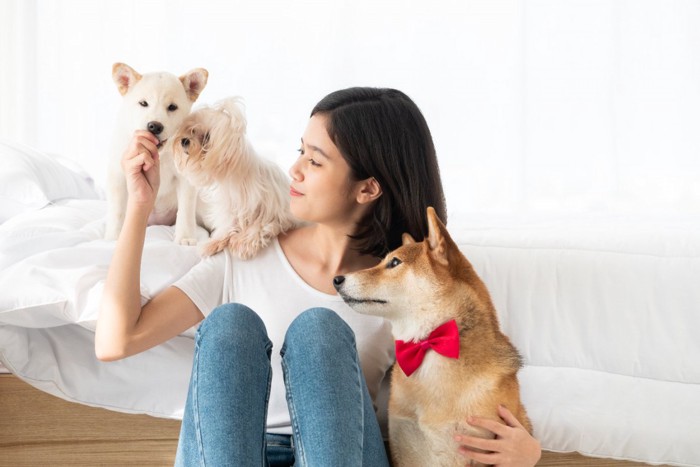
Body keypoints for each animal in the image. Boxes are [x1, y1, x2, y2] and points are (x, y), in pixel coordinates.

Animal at [104, 62, 208, 245]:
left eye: (172, 107)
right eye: (143, 103)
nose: (154, 126)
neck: (162, 153)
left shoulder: (186, 180)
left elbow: (186, 211)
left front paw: (185, 237)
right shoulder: (117, 176)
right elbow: (117, 210)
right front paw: (114, 237)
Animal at [174, 98, 300, 260]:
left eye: (207, 137)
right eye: (192, 130)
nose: (184, 140)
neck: (236, 176)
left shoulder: (267, 209)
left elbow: (258, 226)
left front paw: (244, 243)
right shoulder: (230, 206)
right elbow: (227, 224)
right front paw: (214, 243)